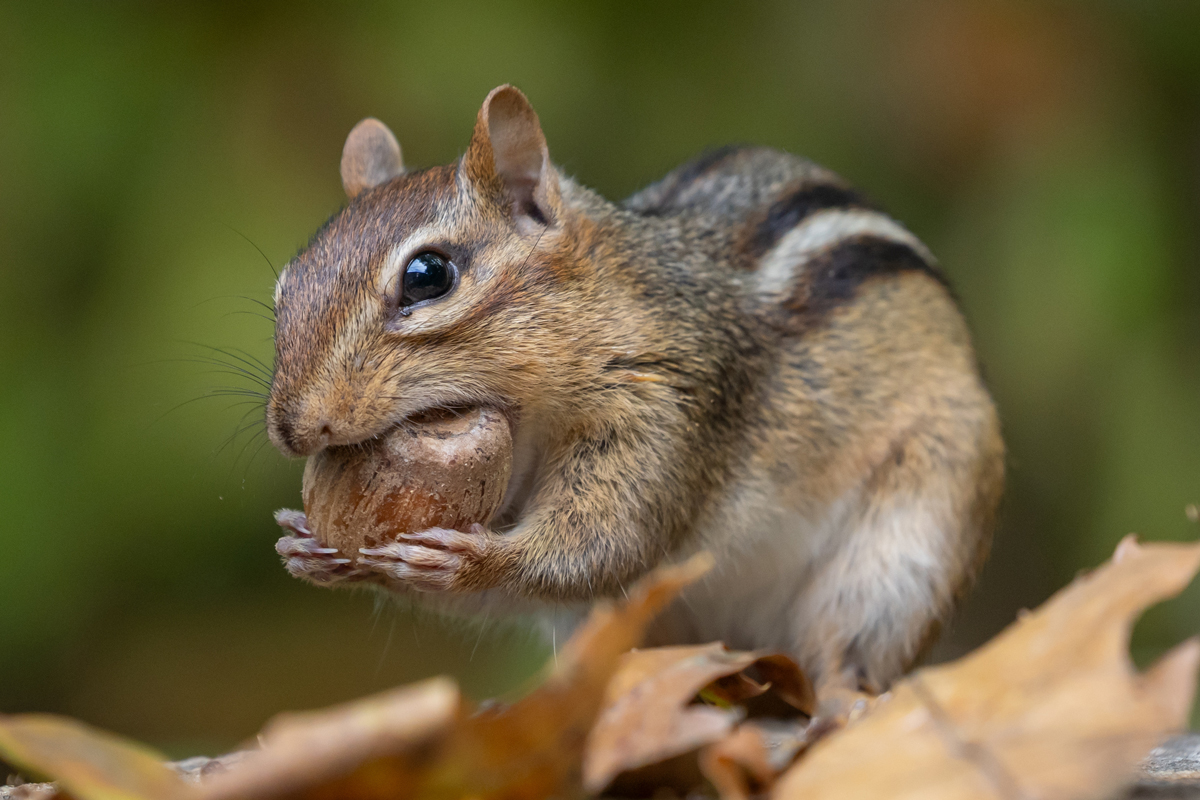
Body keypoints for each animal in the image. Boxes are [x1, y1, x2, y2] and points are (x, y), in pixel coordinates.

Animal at [266, 85, 1005, 703]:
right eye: (283, 288)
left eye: (428, 275)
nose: (291, 428)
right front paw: (311, 548)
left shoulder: (670, 404)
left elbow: (607, 543)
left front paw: (473, 558)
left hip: (907, 552)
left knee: (847, 652)